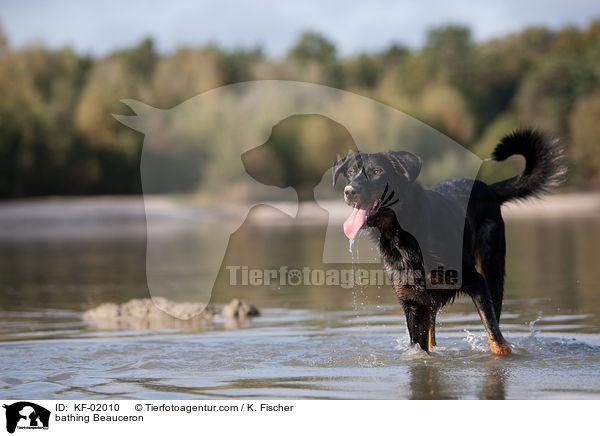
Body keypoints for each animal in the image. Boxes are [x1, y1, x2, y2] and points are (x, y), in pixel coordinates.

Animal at [332, 129, 568, 354]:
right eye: (351, 173)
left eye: (378, 172)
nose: (349, 191)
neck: (402, 236)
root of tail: (489, 188)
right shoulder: (412, 303)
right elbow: (419, 348)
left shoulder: (477, 283)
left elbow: (497, 340)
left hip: (492, 271)